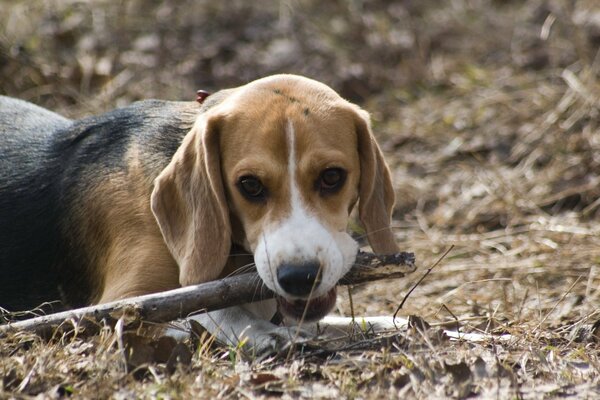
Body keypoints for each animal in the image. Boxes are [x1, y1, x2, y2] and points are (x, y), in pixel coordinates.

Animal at [2, 75, 400, 354]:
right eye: (250, 185)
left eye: (332, 177)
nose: (299, 278)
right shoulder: (119, 302)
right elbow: (193, 308)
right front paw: (265, 332)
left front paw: (382, 323)